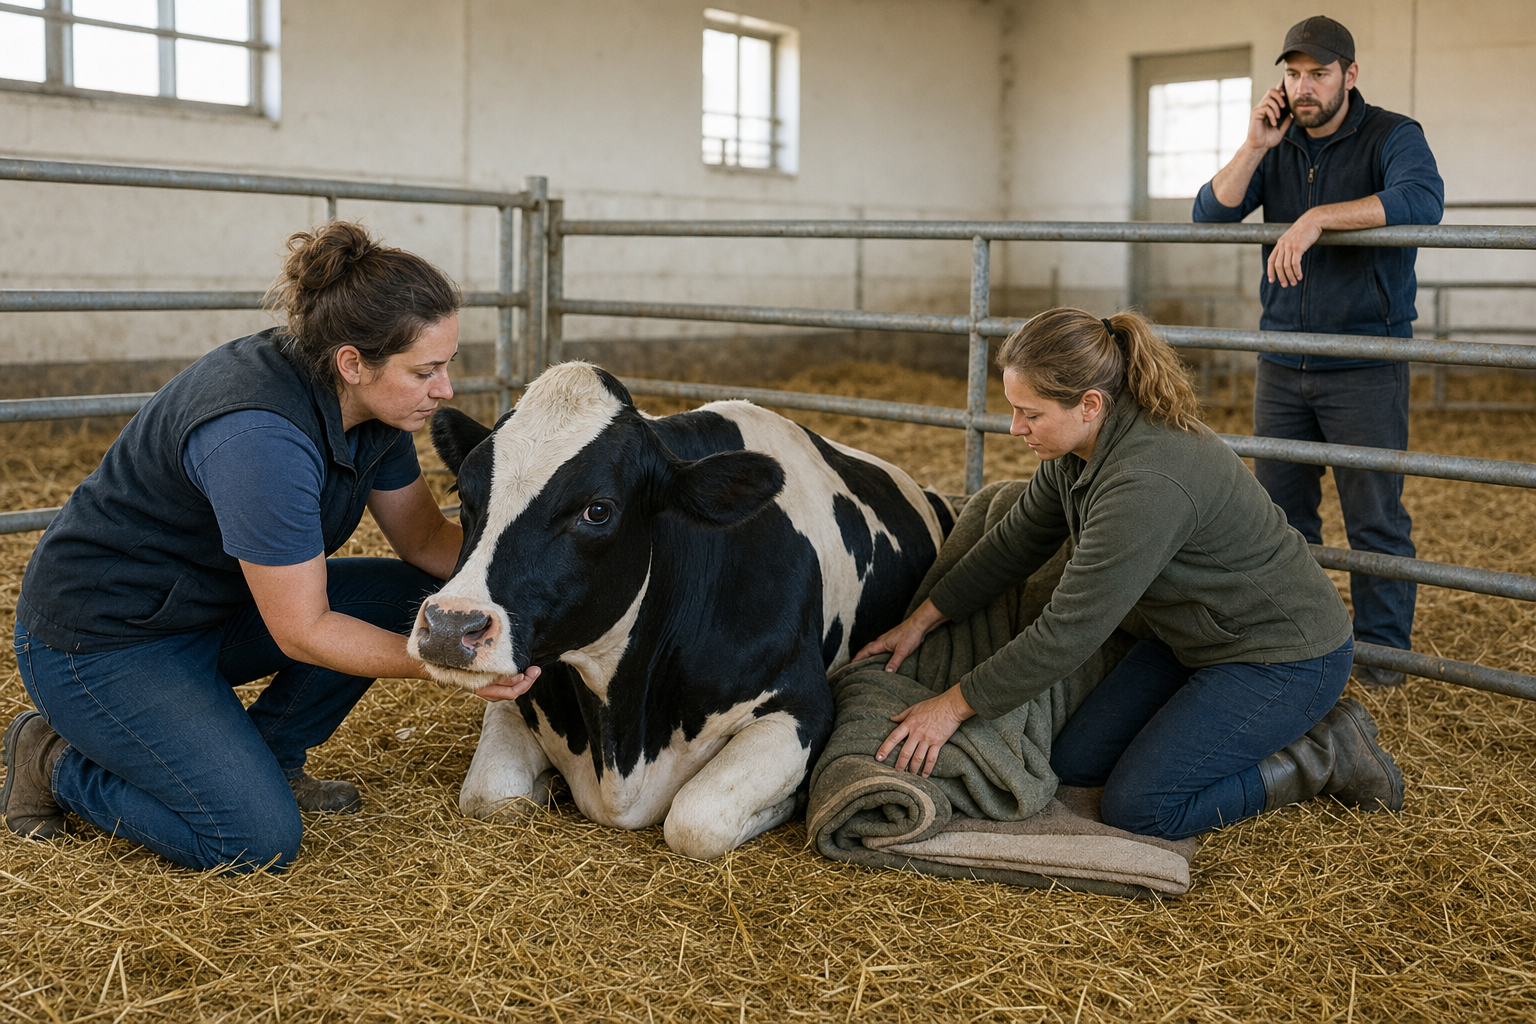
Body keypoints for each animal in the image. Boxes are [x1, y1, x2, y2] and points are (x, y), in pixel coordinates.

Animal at [409, 361, 951, 860]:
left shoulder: (802, 705)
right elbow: (491, 794)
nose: (449, 625)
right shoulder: (517, 695)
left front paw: (788, 805)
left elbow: (696, 819)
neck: (623, 747)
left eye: (598, 510)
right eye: (463, 494)